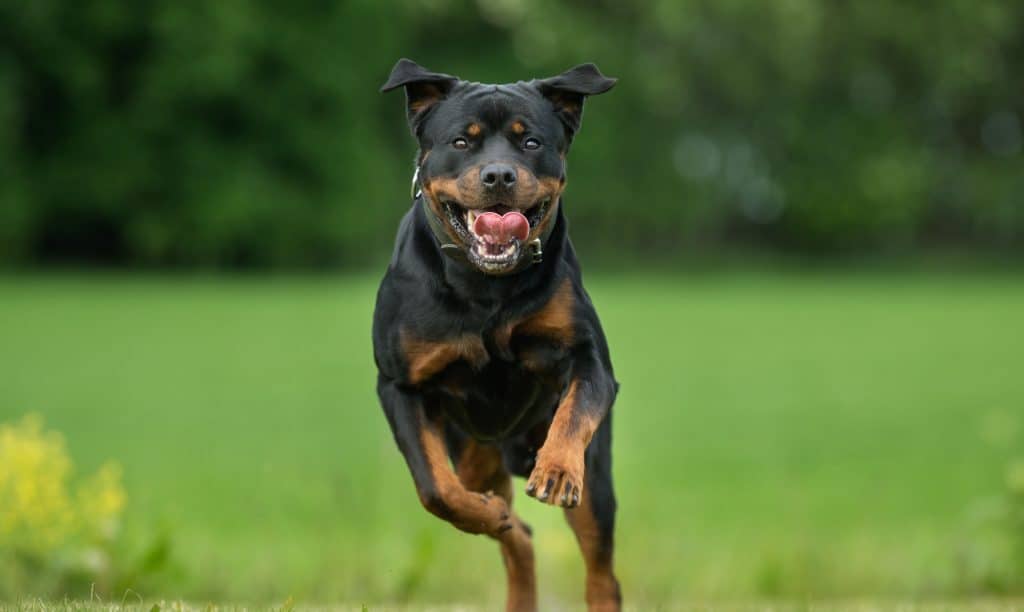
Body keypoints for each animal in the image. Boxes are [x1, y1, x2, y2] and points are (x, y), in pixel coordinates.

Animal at [374, 58, 618, 612]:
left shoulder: (589, 358)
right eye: (462, 141)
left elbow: (576, 411)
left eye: (530, 142)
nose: (500, 174)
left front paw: (556, 470)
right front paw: (485, 513)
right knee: (516, 532)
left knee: (601, 571)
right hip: (473, 453)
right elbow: (436, 490)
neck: (487, 288)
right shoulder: (400, 384)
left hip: (596, 482)